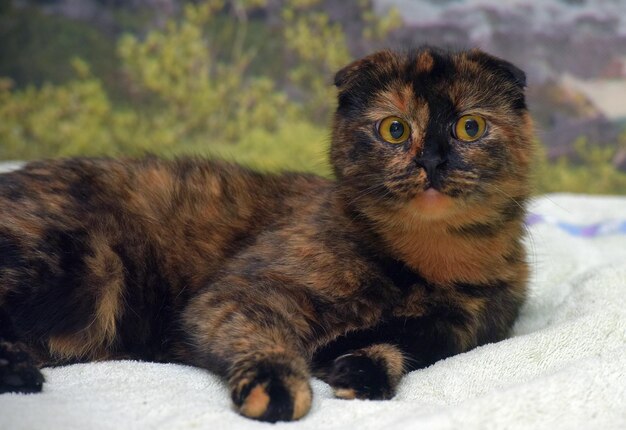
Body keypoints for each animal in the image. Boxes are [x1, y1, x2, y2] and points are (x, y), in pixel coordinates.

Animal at [0, 46, 532, 420]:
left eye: (470, 126)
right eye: (395, 130)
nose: (433, 161)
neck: (428, 263)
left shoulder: (461, 328)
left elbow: (400, 341)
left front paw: (361, 370)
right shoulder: (241, 292)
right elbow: (265, 335)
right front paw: (277, 386)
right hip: (81, 262)